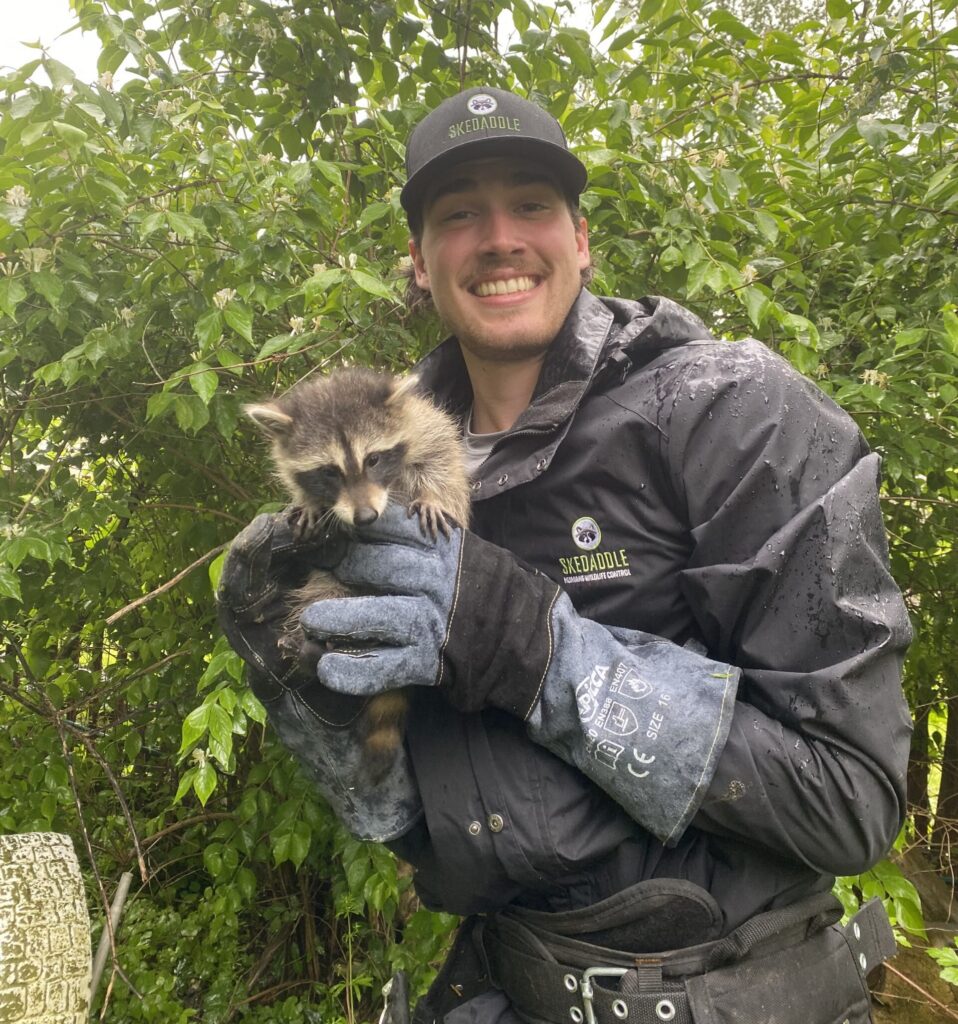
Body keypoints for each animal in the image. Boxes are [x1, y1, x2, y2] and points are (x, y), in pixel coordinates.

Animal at [244, 367, 471, 781]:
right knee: (326, 593)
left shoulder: (424, 423)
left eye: (374, 459)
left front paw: (433, 496)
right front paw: (310, 502)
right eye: (329, 472)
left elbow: (442, 458)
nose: (365, 517)